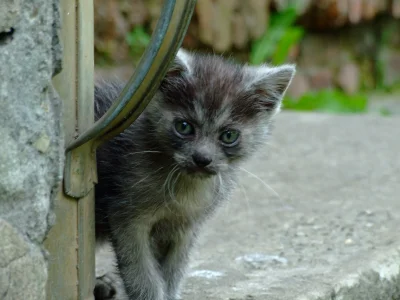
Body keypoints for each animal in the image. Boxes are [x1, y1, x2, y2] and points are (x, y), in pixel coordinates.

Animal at [93, 49, 294, 300]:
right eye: (184, 126)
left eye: (229, 136)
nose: (202, 158)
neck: (183, 189)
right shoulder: (126, 218)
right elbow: (140, 273)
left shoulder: (185, 228)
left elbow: (173, 271)